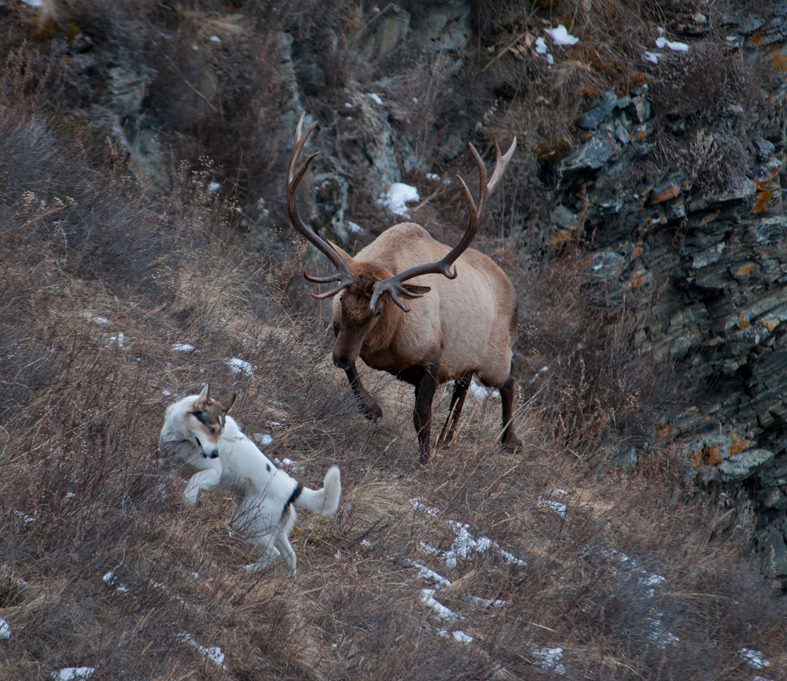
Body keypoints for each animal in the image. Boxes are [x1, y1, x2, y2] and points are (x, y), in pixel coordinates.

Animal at [158, 382, 342, 572]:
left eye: (219, 433)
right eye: (211, 429)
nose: (215, 454)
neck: (182, 438)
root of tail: (291, 488)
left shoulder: (213, 473)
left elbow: (194, 482)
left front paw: (188, 502)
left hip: (247, 523)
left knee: (273, 554)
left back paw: (250, 570)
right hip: (271, 529)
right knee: (290, 555)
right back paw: (286, 576)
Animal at [286, 114, 520, 460]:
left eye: (377, 311)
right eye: (342, 301)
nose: (338, 357)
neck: (385, 343)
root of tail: (512, 290)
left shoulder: (434, 357)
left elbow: (421, 417)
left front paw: (424, 462)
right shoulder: (342, 333)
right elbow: (353, 372)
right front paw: (371, 408)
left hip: (494, 356)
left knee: (508, 379)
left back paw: (510, 440)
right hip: (468, 364)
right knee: (463, 390)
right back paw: (448, 439)